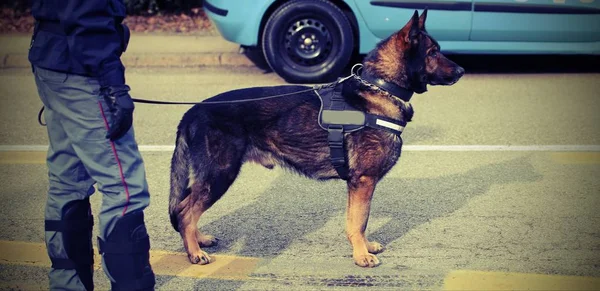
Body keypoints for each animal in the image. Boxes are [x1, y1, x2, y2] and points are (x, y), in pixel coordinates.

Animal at [169, 9, 464, 270]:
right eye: (433, 52)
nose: (461, 70)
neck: (381, 86)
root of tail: (192, 111)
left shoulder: (357, 185)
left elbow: (357, 221)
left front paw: (364, 247)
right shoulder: (363, 182)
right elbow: (359, 222)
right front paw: (361, 256)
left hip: (211, 177)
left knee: (184, 207)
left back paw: (198, 239)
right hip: (220, 175)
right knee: (185, 213)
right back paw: (194, 253)